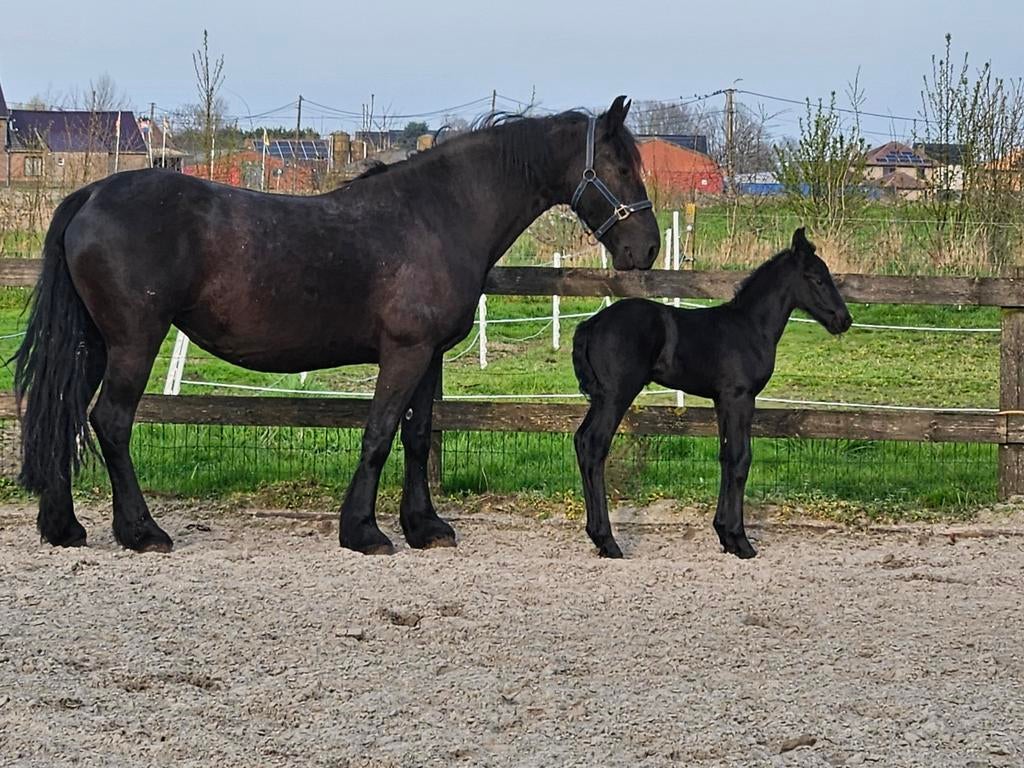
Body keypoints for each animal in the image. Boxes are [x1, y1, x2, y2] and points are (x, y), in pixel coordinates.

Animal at [14, 96, 661, 555]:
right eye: (618, 165)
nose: (647, 247)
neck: (437, 214)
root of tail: (92, 194)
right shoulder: (403, 353)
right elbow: (378, 434)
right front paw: (365, 532)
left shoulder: (429, 356)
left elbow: (418, 436)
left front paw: (424, 526)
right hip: (134, 341)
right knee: (110, 421)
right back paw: (142, 531)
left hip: (94, 342)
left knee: (65, 413)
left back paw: (64, 527)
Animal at [571, 227, 852, 559]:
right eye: (816, 278)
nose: (843, 320)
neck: (750, 326)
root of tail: (591, 324)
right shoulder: (740, 397)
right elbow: (741, 459)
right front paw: (741, 541)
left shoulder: (722, 401)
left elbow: (726, 457)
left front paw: (724, 535)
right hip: (617, 396)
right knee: (594, 445)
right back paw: (608, 541)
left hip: (601, 398)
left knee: (581, 441)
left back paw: (597, 537)